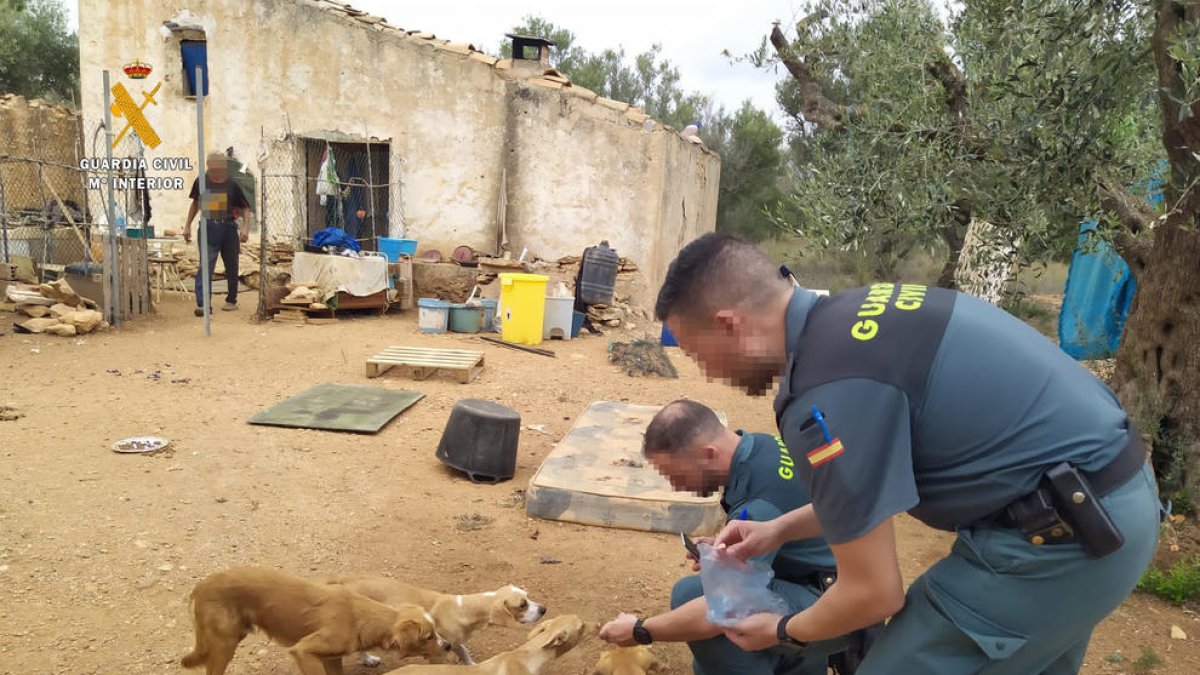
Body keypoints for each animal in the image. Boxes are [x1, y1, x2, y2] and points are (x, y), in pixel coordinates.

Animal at [182, 564, 451, 667]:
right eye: (428, 637)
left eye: (435, 631)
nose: (448, 645)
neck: (359, 617)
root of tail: (201, 585)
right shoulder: (303, 651)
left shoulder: (332, 658)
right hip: (224, 646)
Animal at [333, 571, 549, 662]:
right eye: (522, 605)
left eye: (528, 595)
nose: (544, 609)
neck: (463, 608)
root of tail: (344, 582)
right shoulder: (437, 651)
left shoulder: (455, 643)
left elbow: (465, 654)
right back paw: (368, 659)